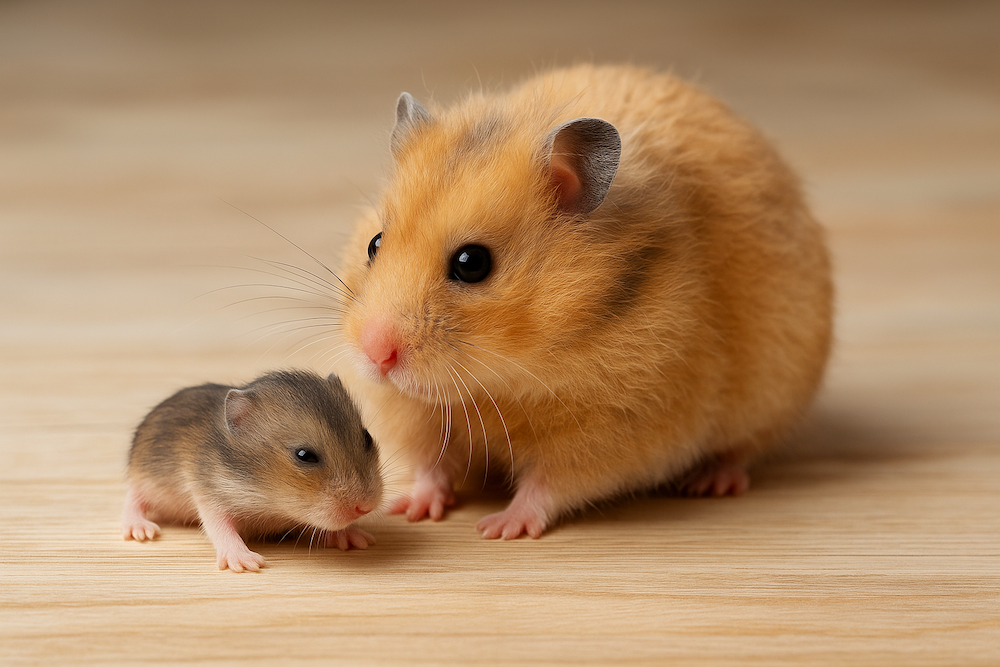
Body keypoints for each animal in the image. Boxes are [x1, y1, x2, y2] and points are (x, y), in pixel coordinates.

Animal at [122, 370, 384, 572]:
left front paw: (358, 539)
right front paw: (247, 563)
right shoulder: (209, 494)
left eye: (367, 437)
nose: (366, 507)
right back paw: (140, 530)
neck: (266, 495)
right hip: (145, 479)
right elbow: (220, 527)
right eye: (304, 455)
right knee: (132, 499)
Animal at [335, 64, 832, 539]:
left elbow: (551, 482)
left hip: (772, 397)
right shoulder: (415, 413)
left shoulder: (617, 426)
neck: (500, 382)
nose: (375, 354)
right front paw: (411, 509)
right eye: (375, 244)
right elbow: (430, 465)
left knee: (743, 449)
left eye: (472, 263)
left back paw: (711, 482)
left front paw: (498, 528)